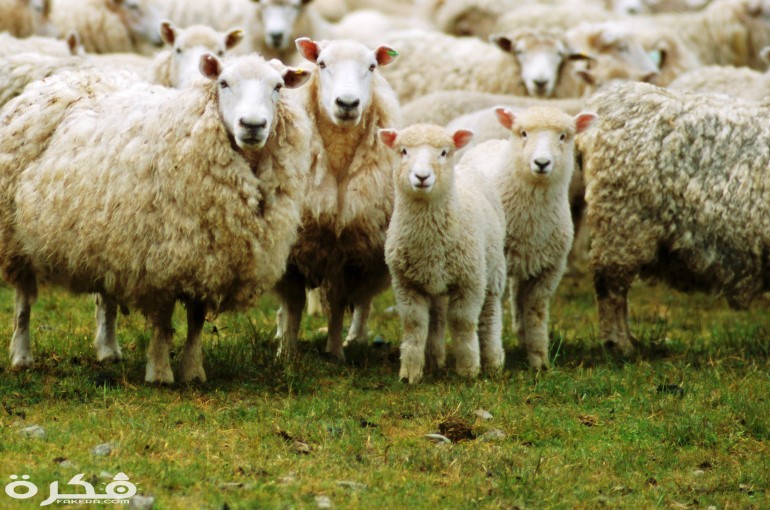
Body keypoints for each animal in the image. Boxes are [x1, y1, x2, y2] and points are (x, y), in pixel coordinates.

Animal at [0, 53, 313, 382]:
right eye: (223, 82)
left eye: (278, 86)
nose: (252, 125)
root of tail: (60, 79)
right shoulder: (162, 258)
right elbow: (163, 321)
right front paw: (160, 373)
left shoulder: (206, 257)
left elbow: (196, 320)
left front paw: (193, 371)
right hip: (15, 236)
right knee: (23, 300)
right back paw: (22, 355)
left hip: (105, 234)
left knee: (105, 296)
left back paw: (108, 351)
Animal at [275, 37, 401, 361]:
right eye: (322, 64)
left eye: (372, 66)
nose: (347, 103)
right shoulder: (292, 252)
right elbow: (293, 304)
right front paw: (287, 352)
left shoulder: (350, 253)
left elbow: (338, 303)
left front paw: (334, 353)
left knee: (364, 302)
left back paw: (356, 338)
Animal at [379, 124, 506, 383]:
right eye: (403, 151)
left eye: (444, 153)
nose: (421, 177)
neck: (431, 240)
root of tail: (465, 168)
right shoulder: (406, 284)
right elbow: (414, 324)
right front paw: (410, 373)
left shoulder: (470, 282)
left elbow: (462, 322)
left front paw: (468, 369)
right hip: (433, 281)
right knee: (437, 317)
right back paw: (434, 361)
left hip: (493, 268)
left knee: (490, 313)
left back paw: (493, 361)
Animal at [460, 107, 597, 369]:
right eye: (523, 133)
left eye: (563, 136)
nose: (542, 163)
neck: (531, 221)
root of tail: (493, 142)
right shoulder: (495, 267)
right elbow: (490, 311)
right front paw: (494, 358)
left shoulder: (549, 269)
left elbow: (536, 312)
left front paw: (539, 361)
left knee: (518, 296)